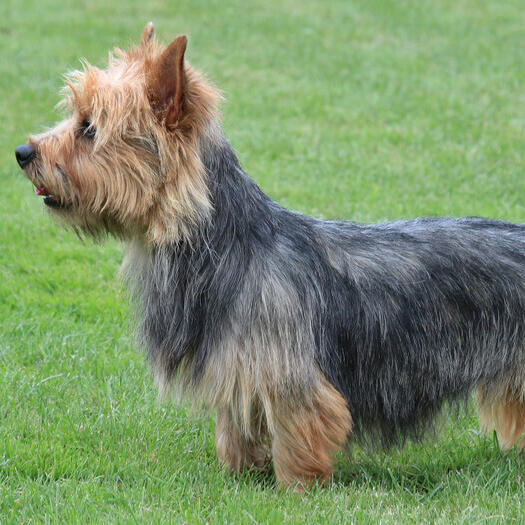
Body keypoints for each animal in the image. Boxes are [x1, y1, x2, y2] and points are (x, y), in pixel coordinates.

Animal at [15, 22, 525, 486]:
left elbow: (297, 435)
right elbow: (233, 427)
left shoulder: (292, 379)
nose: (22, 151)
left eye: (88, 129)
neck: (227, 248)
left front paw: (296, 488)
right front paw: (239, 474)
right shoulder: (235, 368)